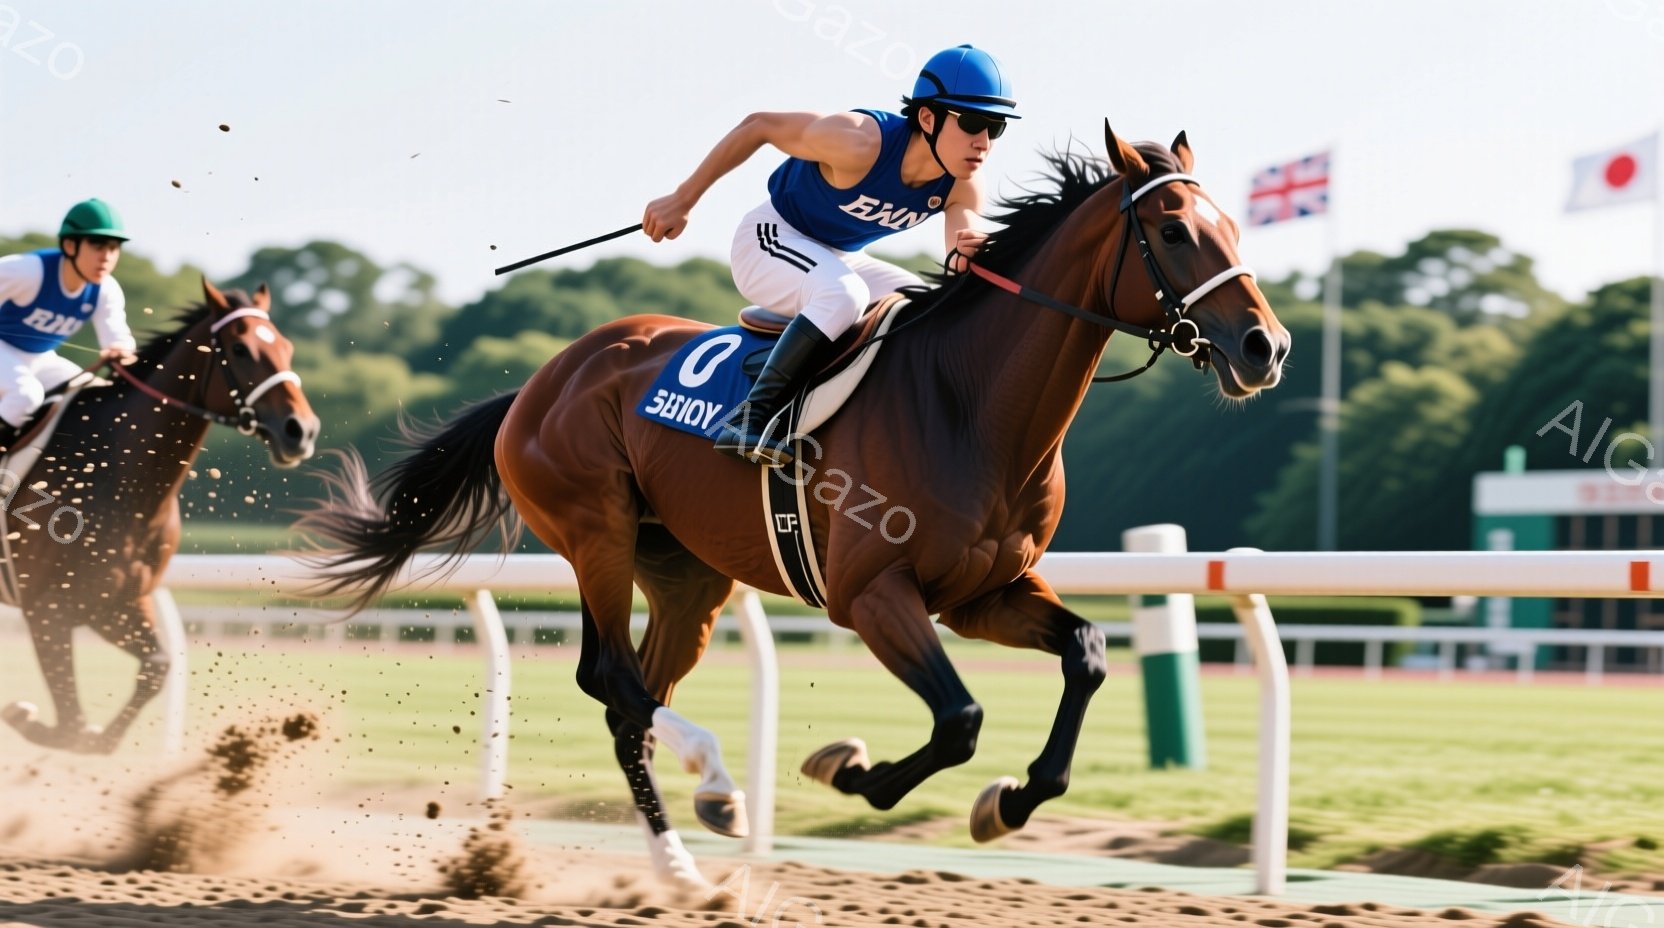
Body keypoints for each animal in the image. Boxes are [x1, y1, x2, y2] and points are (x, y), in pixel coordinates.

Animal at [1, 278, 319, 754]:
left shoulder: (119, 602)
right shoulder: (47, 608)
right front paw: (26, 717)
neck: (119, 476)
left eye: (286, 346)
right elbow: (72, 724)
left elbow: (156, 667)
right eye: (240, 348)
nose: (301, 430)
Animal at [301, 125, 1288, 885]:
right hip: (594, 531)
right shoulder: (872, 593)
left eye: (1234, 223)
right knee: (610, 678)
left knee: (632, 703)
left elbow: (1085, 656)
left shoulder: (982, 595)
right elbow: (960, 719)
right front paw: (854, 773)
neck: (967, 403)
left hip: (686, 577)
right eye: (1173, 229)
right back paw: (711, 782)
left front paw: (1009, 801)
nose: (1265, 346)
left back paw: (682, 857)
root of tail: (542, 381)